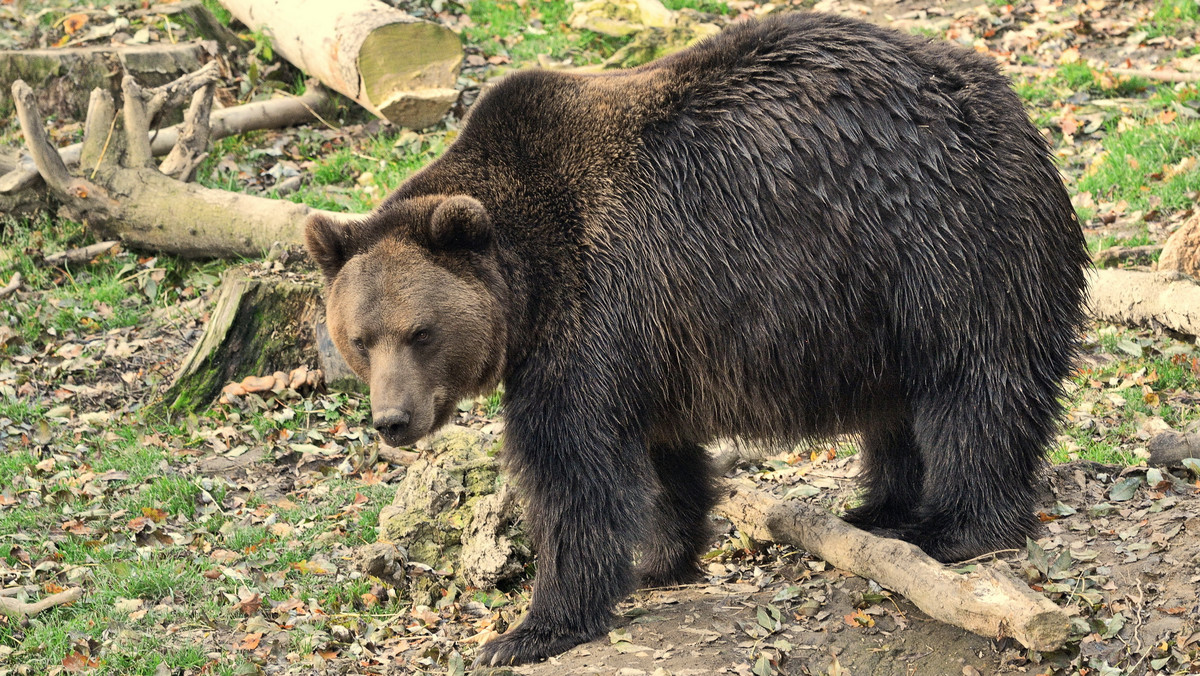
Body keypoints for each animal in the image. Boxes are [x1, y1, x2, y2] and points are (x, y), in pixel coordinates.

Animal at [304, 9, 1094, 667]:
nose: (393, 419)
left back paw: (956, 525)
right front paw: (662, 556)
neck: (526, 285)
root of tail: (1013, 108)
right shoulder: (650, 340)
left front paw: (530, 629)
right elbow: (660, 456)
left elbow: (571, 469)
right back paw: (880, 508)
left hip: (944, 243)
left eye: (420, 331)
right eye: (359, 338)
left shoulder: (591, 311)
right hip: (880, 304)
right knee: (898, 407)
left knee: (976, 385)